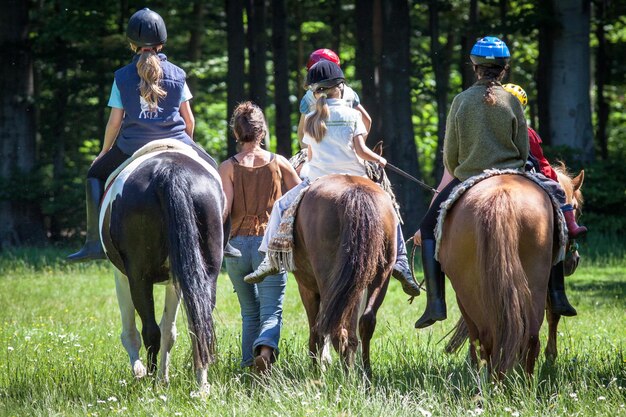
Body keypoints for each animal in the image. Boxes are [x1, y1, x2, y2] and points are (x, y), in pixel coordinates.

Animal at [98, 141, 223, 390]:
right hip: (206, 276)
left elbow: (132, 331)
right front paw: (164, 377)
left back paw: (150, 381)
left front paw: (141, 372)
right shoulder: (177, 281)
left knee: (149, 330)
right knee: (199, 327)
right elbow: (170, 330)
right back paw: (201, 386)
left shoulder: (122, 276)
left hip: (139, 278)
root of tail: (170, 171)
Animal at [288, 172, 394, 376]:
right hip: (380, 275)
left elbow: (316, 330)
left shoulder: (307, 288)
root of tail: (356, 193)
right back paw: (364, 374)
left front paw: (317, 369)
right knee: (366, 321)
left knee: (333, 330)